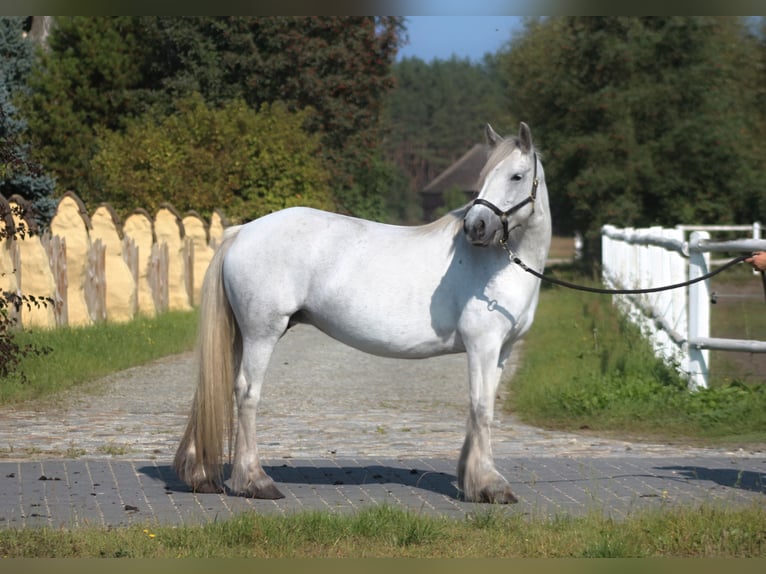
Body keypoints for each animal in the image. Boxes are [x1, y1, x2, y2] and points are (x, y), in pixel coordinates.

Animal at [176, 122, 552, 504]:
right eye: (485, 175)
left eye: (516, 176)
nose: (476, 227)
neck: (496, 265)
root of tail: (242, 232)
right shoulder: (482, 346)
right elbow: (481, 408)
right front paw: (490, 485)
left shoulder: (501, 351)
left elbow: (483, 405)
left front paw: (473, 479)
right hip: (261, 334)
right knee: (247, 393)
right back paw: (255, 481)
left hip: (241, 334)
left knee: (217, 389)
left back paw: (203, 477)